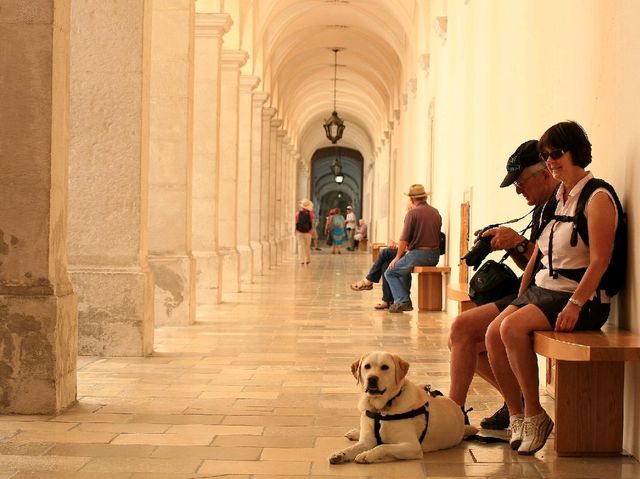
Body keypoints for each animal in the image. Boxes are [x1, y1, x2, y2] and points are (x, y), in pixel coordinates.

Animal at [330, 352, 476, 464]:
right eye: (367, 366)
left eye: (385, 367)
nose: (372, 379)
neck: (382, 409)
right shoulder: (366, 441)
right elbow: (353, 448)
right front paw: (340, 454)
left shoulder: (412, 447)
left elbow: (383, 446)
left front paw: (368, 455)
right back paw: (355, 433)